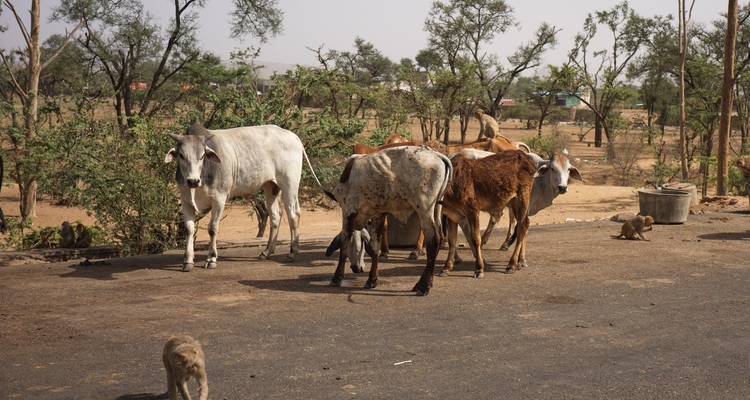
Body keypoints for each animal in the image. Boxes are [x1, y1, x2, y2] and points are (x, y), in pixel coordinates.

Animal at [164, 123, 324, 271]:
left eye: (202, 155)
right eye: (181, 155)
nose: (192, 181)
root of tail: (293, 136)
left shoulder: (219, 199)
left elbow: (213, 228)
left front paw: (212, 259)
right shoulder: (186, 201)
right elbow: (189, 229)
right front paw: (187, 261)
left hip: (289, 184)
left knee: (293, 214)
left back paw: (292, 253)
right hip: (270, 186)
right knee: (275, 216)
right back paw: (266, 252)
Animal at [327, 146, 452, 296]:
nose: (356, 268)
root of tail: (438, 155)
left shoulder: (347, 211)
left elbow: (344, 244)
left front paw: (337, 277)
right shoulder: (378, 214)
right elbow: (375, 248)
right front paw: (372, 280)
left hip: (424, 209)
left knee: (433, 240)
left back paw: (424, 286)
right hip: (436, 208)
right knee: (440, 238)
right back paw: (423, 283)